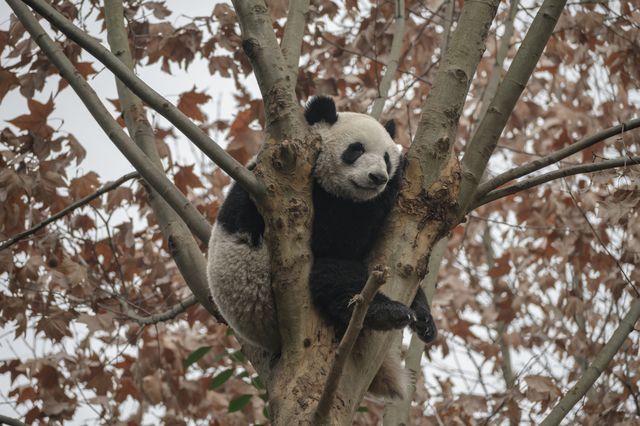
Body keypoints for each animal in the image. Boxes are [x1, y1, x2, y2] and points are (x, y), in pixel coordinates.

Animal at [208, 97, 438, 400]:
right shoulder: (291, 197)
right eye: (356, 149)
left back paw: (423, 318)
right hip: (262, 291)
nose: (378, 177)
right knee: (334, 277)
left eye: (386, 157)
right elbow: (336, 238)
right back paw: (388, 312)